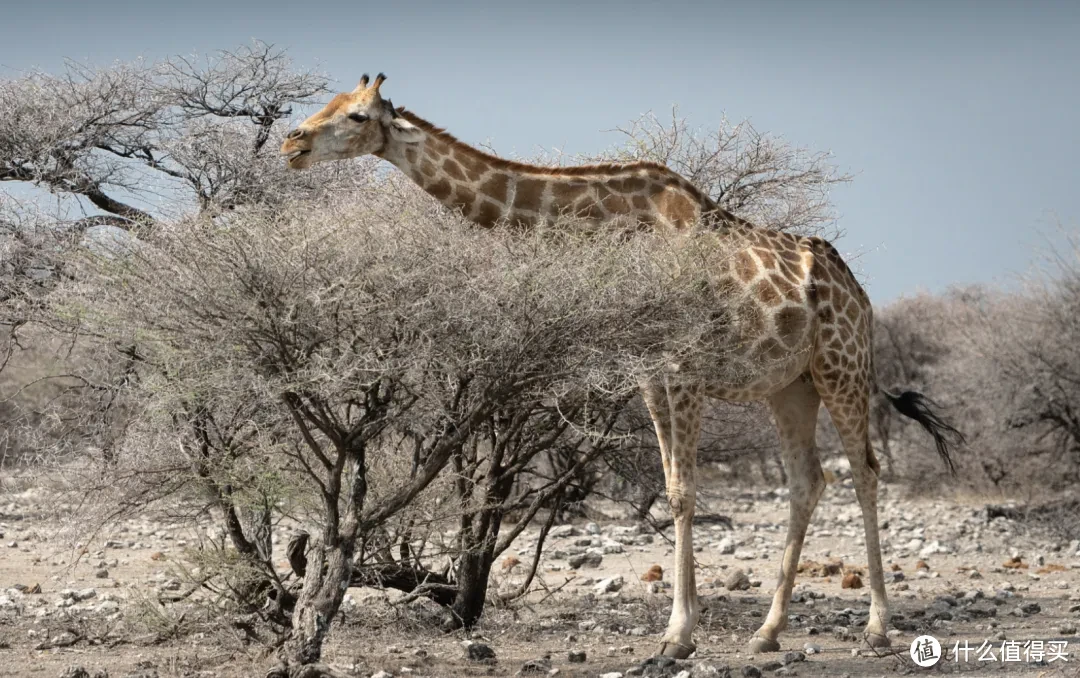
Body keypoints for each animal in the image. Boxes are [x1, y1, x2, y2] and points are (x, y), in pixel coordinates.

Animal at [278, 72, 963, 656]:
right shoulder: (648, 371)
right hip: (788, 385)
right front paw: (681, 631)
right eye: (330, 103)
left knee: (866, 471)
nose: (292, 142)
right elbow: (672, 486)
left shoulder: (681, 367)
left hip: (840, 367)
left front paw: (677, 637)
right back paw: (767, 633)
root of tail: (861, 296)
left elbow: (684, 491)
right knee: (808, 480)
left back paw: (877, 628)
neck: (611, 221)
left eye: (358, 115)